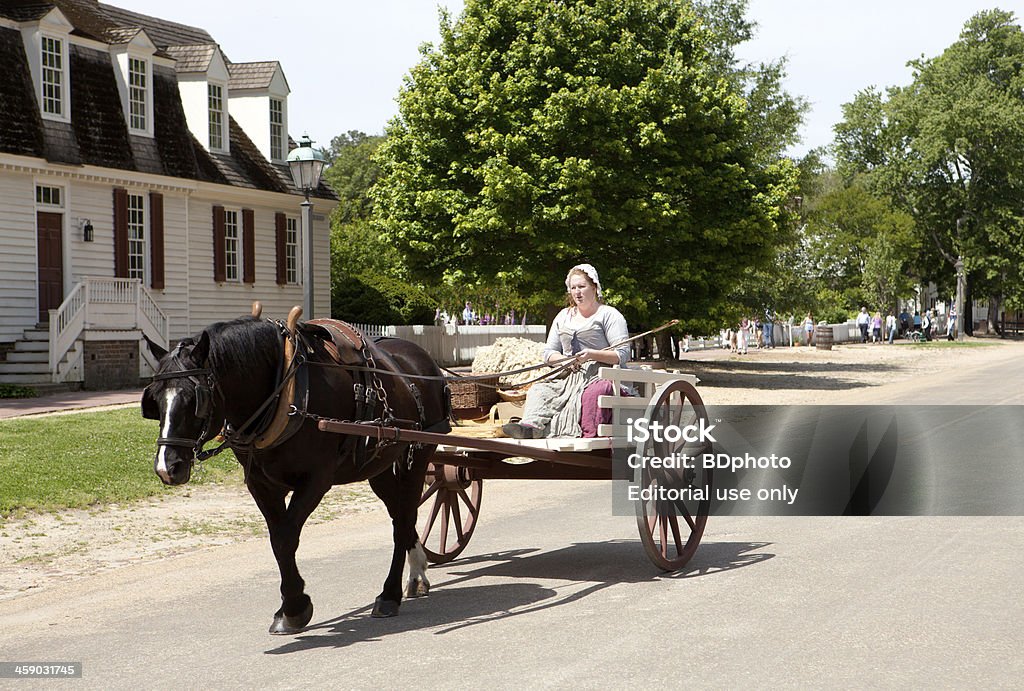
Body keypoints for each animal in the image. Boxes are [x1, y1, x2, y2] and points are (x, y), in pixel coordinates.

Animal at [142, 315, 450, 634]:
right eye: (155, 400)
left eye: (194, 399)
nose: (167, 467)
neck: (285, 390)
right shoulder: (261, 484)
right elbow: (278, 540)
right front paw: (290, 607)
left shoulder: (316, 479)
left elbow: (285, 538)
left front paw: (294, 607)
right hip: (379, 467)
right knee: (400, 515)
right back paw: (416, 571)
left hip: (418, 457)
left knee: (404, 520)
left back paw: (390, 594)